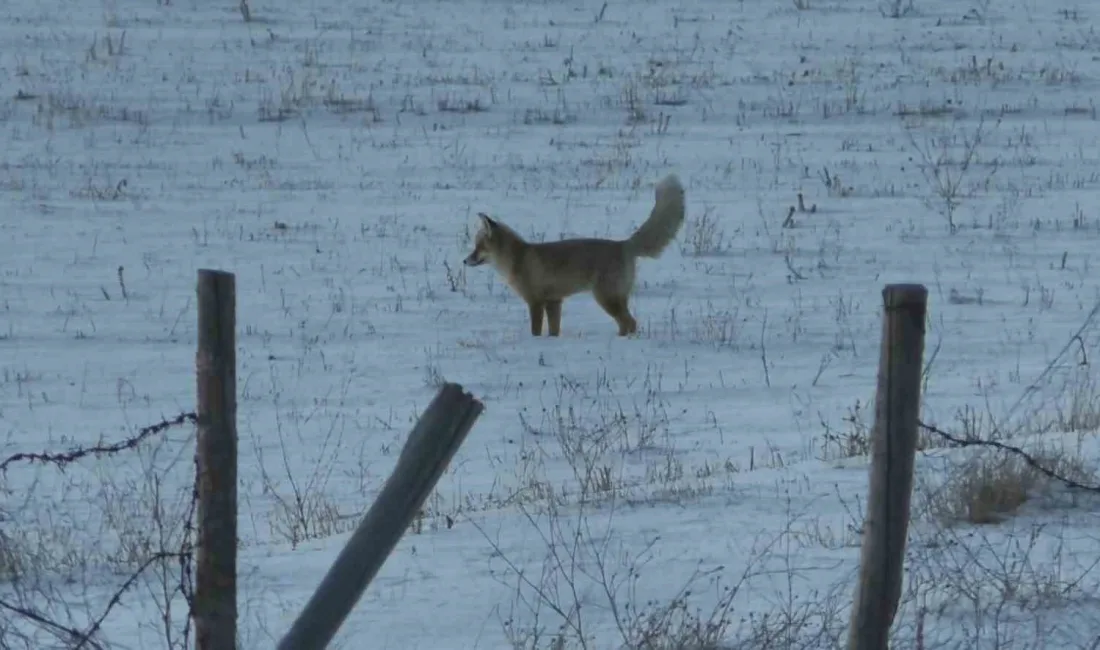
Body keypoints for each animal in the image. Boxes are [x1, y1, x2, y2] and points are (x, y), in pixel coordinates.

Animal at [464, 172, 686, 338]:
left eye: (478, 247)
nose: (465, 261)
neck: (517, 259)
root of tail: (624, 244)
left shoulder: (536, 301)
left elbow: (536, 331)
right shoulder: (554, 302)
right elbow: (554, 331)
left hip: (606, 298)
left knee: (630, 322)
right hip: (615, 298)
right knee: (628, 322)